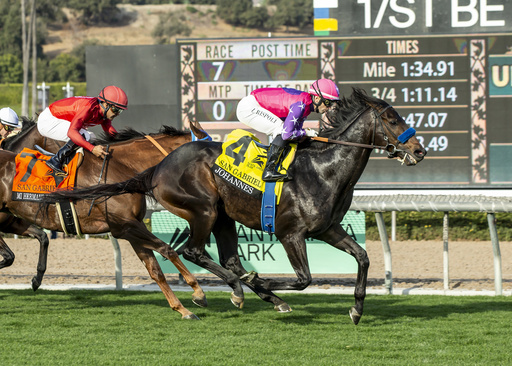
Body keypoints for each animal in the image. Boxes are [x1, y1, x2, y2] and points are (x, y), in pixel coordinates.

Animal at [1, 121, 210, 318]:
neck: (122, 168)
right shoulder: (124, 226)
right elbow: (168, 249)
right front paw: (198, 292)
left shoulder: (132, 227)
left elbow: (155, 270)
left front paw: (182, 309)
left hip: (8, 217)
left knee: (37, 239)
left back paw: (34, 278)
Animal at [45, 88, 428, 324]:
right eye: (392, 119)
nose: (420, 150)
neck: (324, 169)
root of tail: (159, 166)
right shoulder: (291, 233)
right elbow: (303, 279)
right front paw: (265, 283)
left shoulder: (328, 229)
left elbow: (362, 258)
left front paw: (357, 309)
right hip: (204, 209)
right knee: (193, 251)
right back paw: (232, 290)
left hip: (224, 217)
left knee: (224, 257)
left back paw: (245, 289)